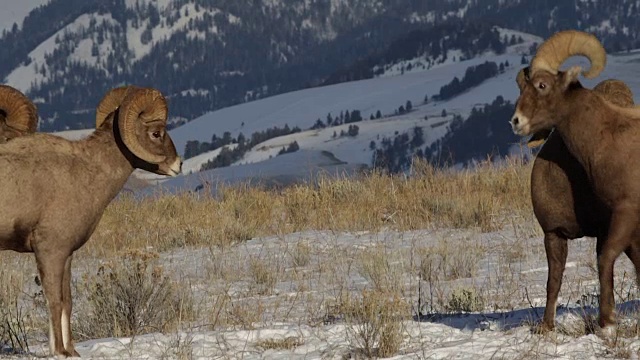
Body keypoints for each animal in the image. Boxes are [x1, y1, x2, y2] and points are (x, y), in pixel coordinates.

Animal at [0, 85, 182, 358]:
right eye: (156, 133)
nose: (178, 165)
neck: (87, 173)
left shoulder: (66, 255)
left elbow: (67, 301)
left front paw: (71, 350)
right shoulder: (50, 251)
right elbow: (54, 301)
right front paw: (59, 351)